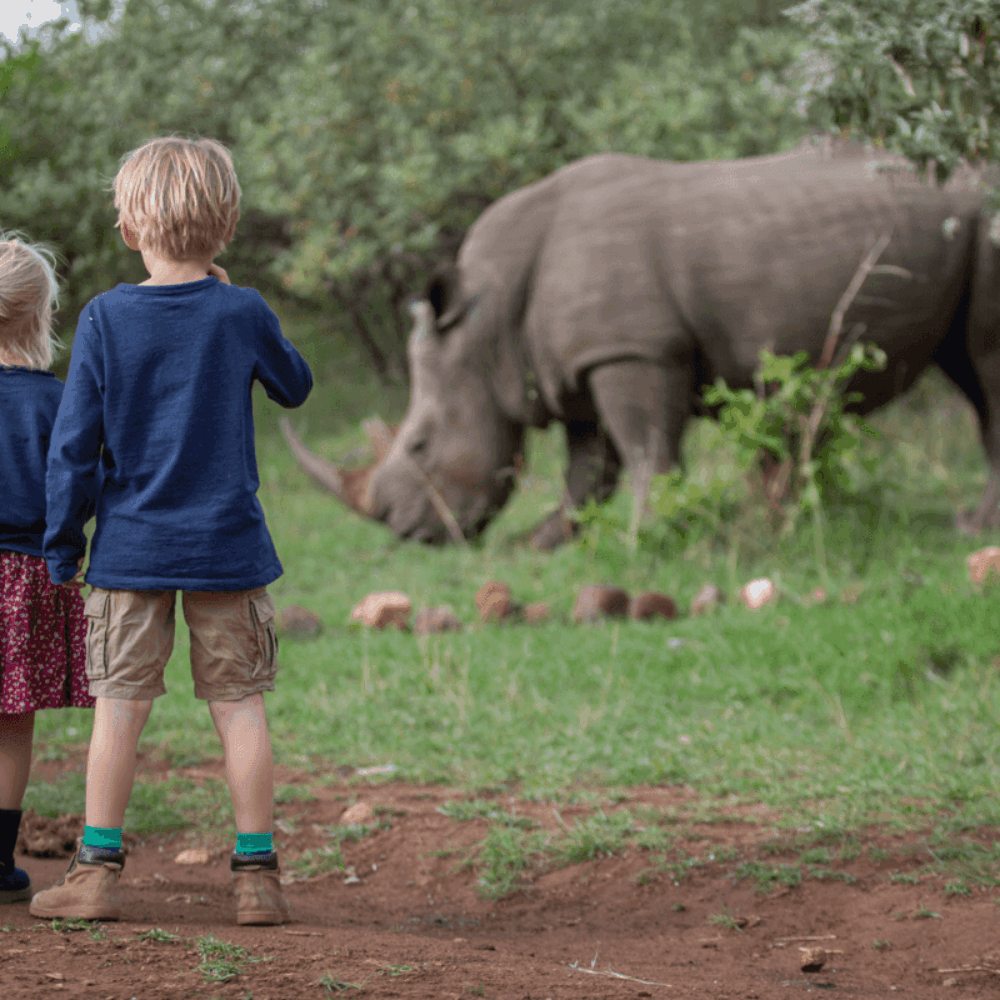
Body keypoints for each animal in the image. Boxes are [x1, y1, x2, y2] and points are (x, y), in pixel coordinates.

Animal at [283, 146, 1000, 546]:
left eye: (420, 445)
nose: (409, 533)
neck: (485, 324)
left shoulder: (633, 350)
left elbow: (646, 447)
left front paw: (652, 536)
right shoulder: (574, 363)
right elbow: (589, 468)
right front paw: (546, 542)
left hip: (986, 221)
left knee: (986, 371)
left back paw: (974, 529)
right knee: (969, 371)